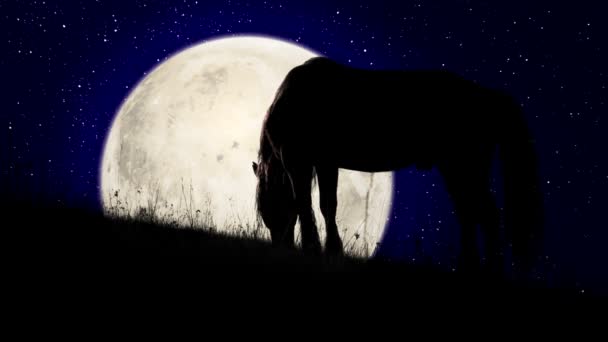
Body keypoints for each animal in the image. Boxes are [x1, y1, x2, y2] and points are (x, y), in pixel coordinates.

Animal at [252, 56, 540, 272]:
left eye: (267, 208)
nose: (280, 247)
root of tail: (489, 95)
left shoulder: (300, 162)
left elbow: (307, 204)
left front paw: (318, 248)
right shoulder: (324, 163)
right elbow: (325, 205)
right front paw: (329, 249)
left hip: (465, 168)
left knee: (486, 214)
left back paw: (490, 269)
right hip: (457, 170)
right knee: (469, 213)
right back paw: (470, 266)